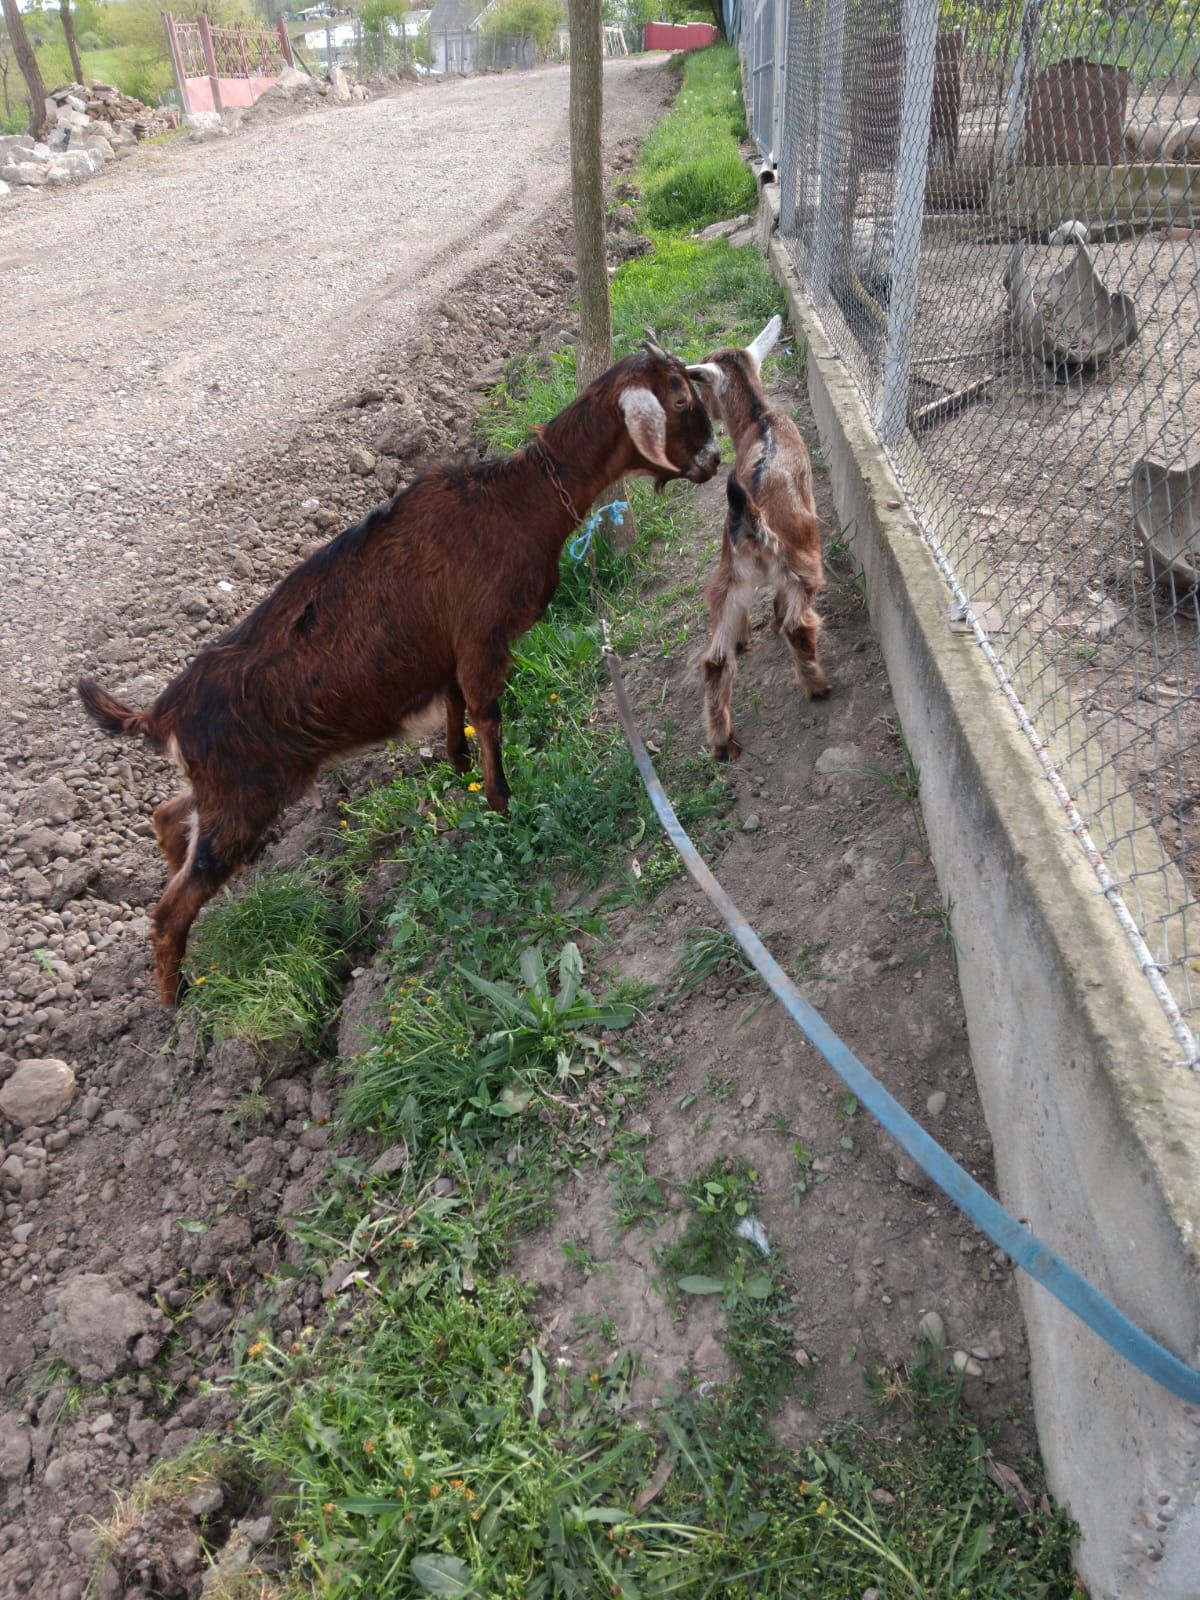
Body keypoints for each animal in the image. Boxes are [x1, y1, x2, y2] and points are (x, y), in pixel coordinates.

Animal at [80, 344, 720, 1004]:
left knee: (168, 817)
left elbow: (459, 714)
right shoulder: (482, 639)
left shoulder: (448, 652)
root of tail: (165, 712)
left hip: (236, 786)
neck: (516, 502)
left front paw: (459, 774)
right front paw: (502, 806)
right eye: (679, 400)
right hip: (245, 797)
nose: (715, 461)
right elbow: (488, 716)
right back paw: (174, 999)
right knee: (169, 909)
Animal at [684, 318, 825, 761]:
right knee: (798, 627)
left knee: (714, 660)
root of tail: (750, 518)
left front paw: (747, 638)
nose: (706, 413)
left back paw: (721, 741)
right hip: (803, 557)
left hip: (727, 577)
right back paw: (818, 687)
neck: (759, 418)